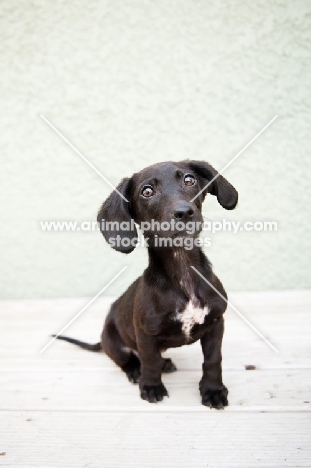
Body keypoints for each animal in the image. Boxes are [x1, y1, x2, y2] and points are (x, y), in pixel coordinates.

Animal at [54, 160, 239, 406]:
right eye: (147, 191)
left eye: (189, 180)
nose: (184, 212)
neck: (182, 271)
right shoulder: (145, 335)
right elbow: (149, 362)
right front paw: (151, 386)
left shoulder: (216, 323)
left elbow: (213, 360)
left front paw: (213, 389)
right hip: (112, 340)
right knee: (128, 359)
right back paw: (136, 370)